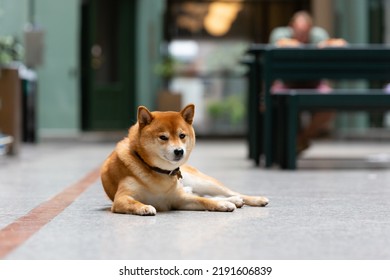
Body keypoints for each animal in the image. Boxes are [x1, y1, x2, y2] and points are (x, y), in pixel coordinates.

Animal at [100, 104, 268, 215]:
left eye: (182, 135)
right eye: (163, 137)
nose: (179, 151)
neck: (158, 173)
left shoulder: (179, 199)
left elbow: (205, 201)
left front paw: (221, 204)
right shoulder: (121, 199)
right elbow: (134, 202)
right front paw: (144, 207)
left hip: (203, 182)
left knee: (226, 192)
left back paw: (252, 199)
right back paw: (235, 200)